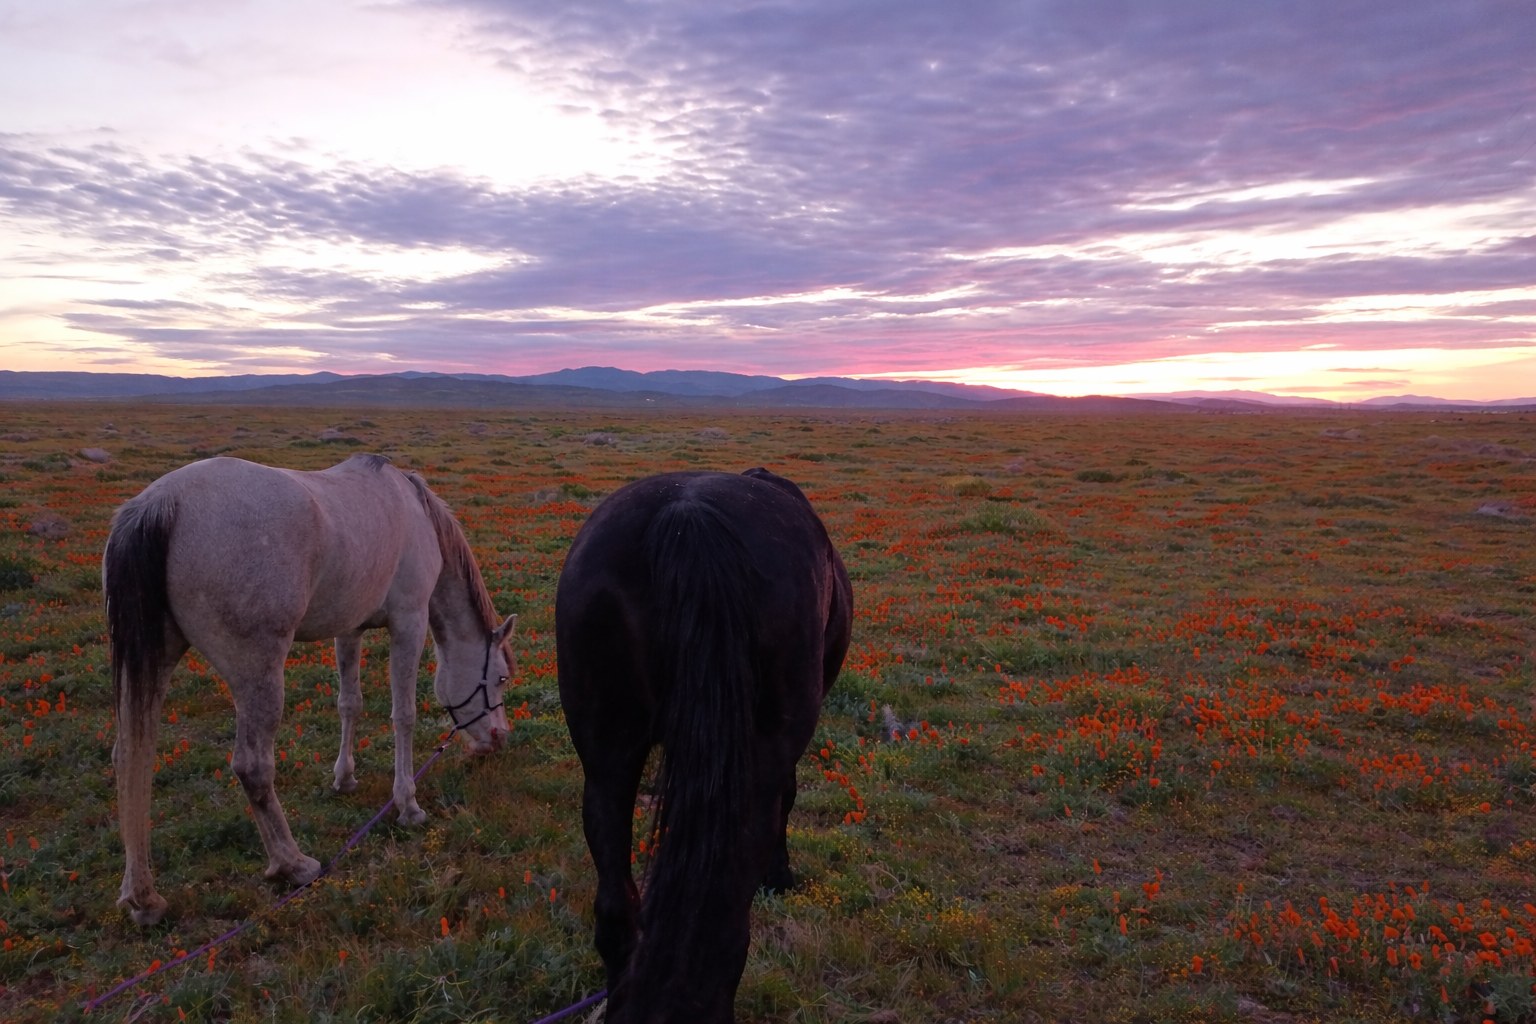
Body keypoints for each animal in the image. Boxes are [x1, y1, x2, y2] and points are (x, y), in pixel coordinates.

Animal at [102, 453, 517, 926]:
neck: (413, 510)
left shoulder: (350, 627)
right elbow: (404, 715)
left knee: (131, 756)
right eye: (501, 677)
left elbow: (349, 704)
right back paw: (293, 864)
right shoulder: (409, 622)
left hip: (156, 658)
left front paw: (344, 777)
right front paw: (408, 805)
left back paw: (143, 898)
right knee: (252, 766)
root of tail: (160, 505)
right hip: (259, 672)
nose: (498, 738)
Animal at [555, 467, 852, 1023]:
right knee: (725, 923)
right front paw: (780, 874)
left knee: (616, 909)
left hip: (606, 762)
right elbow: (789, 796)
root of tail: (686, 516)